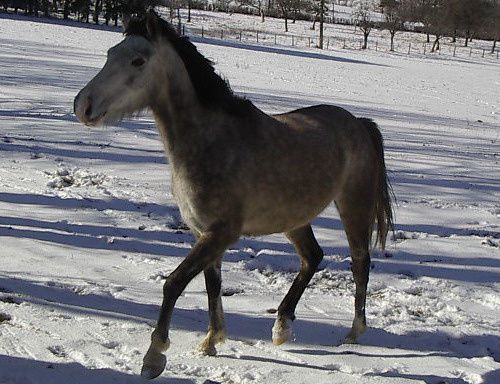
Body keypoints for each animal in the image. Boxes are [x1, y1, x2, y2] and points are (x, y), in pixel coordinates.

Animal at [74, 9, 394, 380]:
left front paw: (154, 356)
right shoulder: (204, 233)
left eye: (138, 61)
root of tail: (358, 122)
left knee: (360, 261)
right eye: (110, 53)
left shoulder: (221, 233)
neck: (211, 142)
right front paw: (211, 341)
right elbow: (212, 284)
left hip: (353, 206)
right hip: (294, 219)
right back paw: (282, 326)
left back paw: (353, 332)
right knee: (312, 257)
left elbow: (175, 282)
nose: (83, 105)